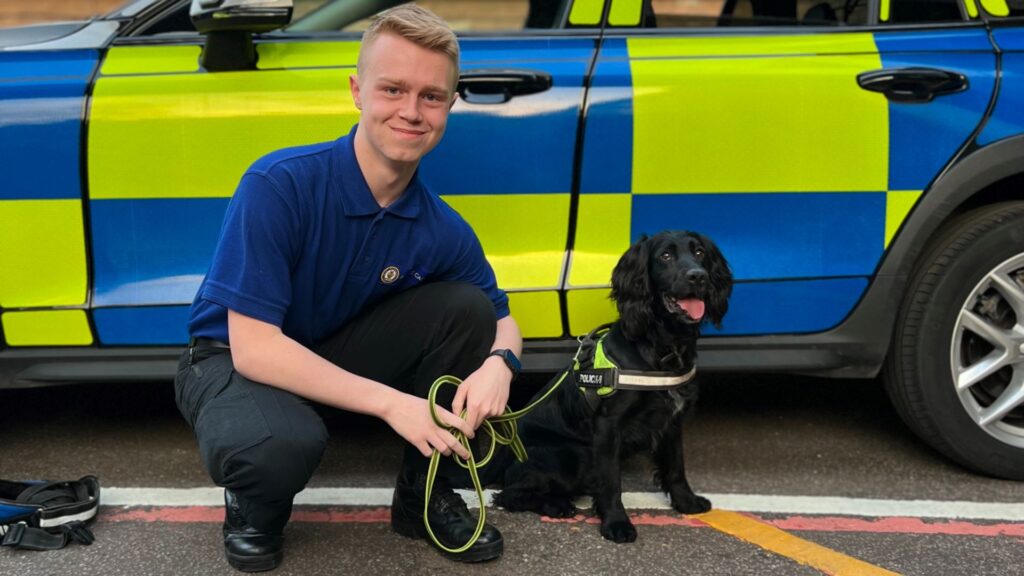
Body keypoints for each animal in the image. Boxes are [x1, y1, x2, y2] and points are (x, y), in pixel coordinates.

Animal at [491, 227, 733, 537]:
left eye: (699, 252)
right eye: (665, 256)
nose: (698, 276)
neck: (660, 346)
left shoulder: (672, 420)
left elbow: (676, 466)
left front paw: (685, 502)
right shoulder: (608, 425)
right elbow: (610, 480)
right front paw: (617, 523)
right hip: (572, 455)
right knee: (508, 494)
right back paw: (556, 505)